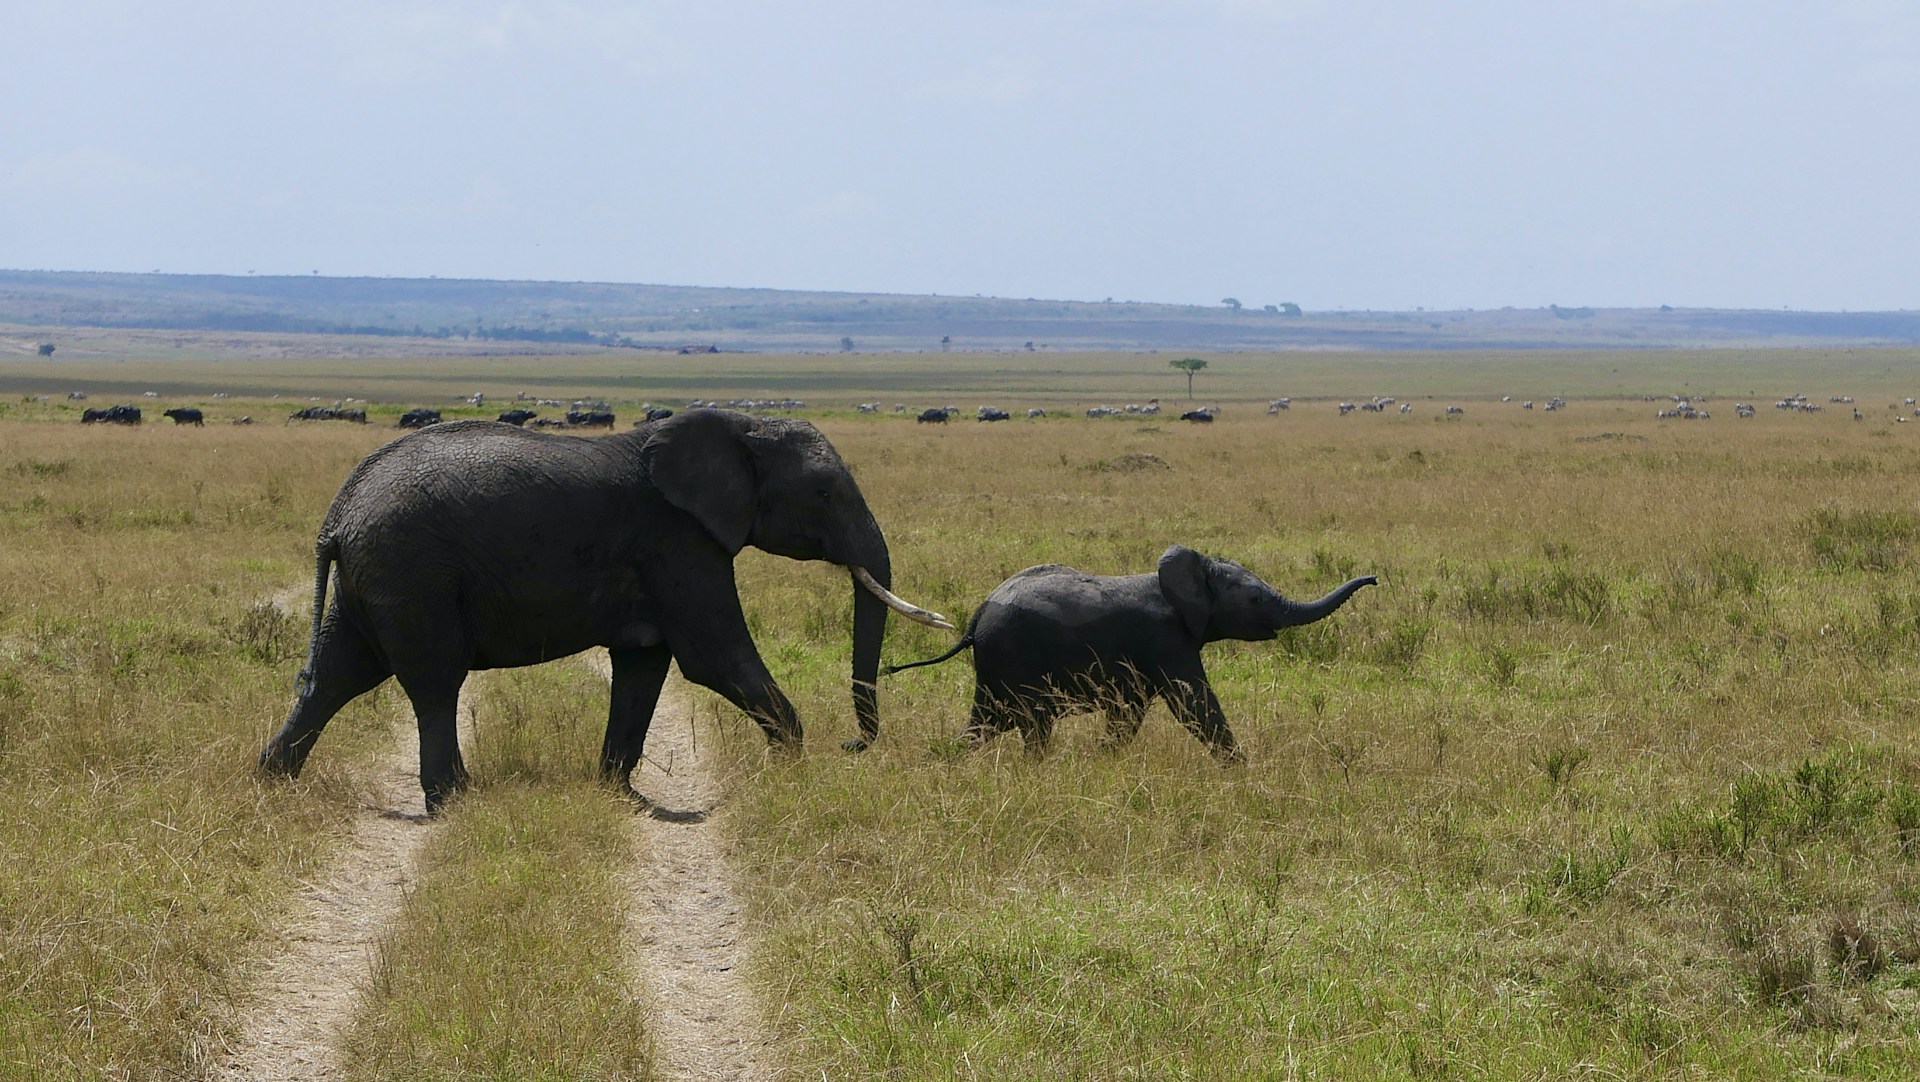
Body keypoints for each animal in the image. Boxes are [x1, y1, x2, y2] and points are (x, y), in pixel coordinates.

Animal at [257, 409, 952, 812]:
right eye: (824, 492)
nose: (852, 745)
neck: (735, 425)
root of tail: (339, 513)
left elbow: (645, 665)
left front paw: (621, 795)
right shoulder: (677, 542)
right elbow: (714, 657)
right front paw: (789, 772)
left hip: (375, 577)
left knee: (336, 674)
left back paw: (273, 782)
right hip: (412, 570)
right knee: (432, 682)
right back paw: (456, 802)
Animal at [885, 545, 1375, 760]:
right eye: (1254, 599)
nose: (1373, 578)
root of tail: (975, 617)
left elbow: (1129, 715)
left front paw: (1105, 758)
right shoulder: (1165, 640)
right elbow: (1194, 704)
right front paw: (1241, 770)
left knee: (986, 724)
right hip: (1014, 656)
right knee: (1031, 726)